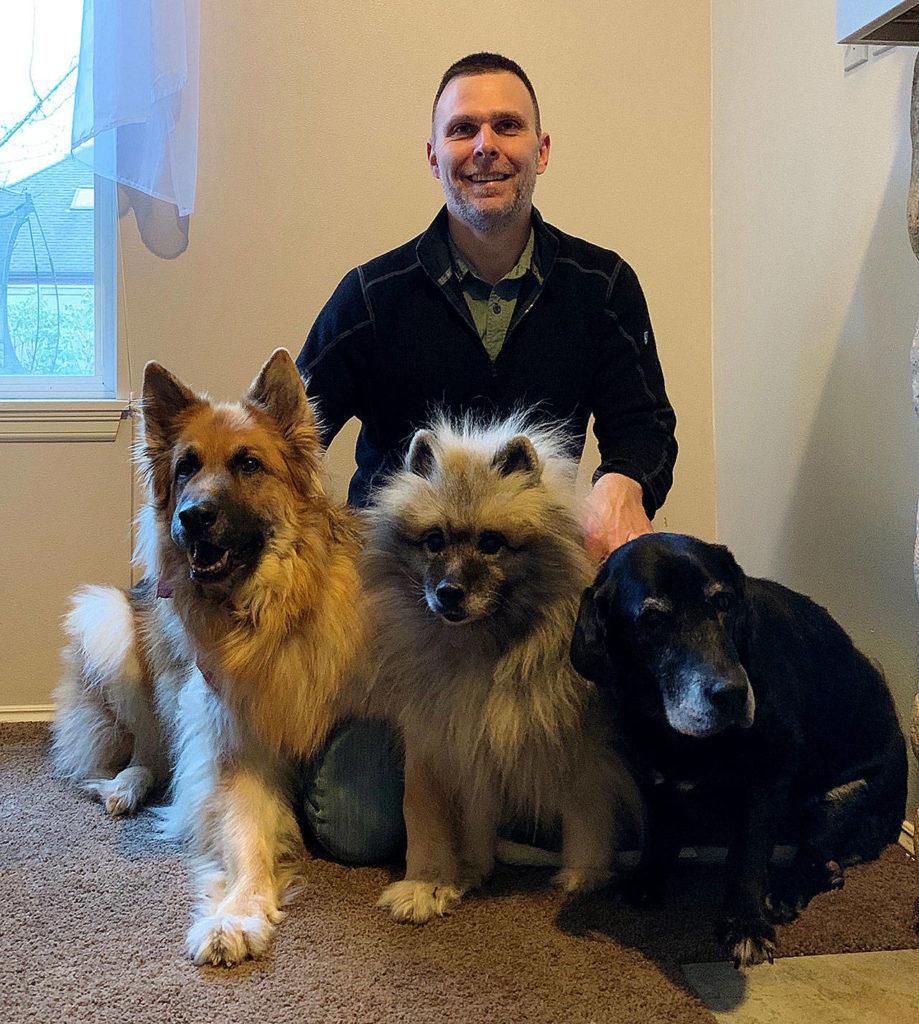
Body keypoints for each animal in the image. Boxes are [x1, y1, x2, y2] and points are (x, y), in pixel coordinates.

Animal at [51, 348, 364, 962]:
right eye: (186, 467)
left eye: (249, 464)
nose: (192, 517)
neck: (269, 614)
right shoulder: (234, 748)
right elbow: (245, 837)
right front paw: (238, 912)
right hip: (110, 626)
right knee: (149, 747)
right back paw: (127, 785)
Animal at [360, 411, 639, 925]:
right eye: (434, 541)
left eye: (491, 543)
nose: (449, 592)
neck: (479, 649)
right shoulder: (441, 743)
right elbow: (428, 821)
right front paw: (433, 881)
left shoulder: (579, 745)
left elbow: (588, 810)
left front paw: (585, 873)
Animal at [569, 536, 905, 966]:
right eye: (653, 619)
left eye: (723, 602)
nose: (732, 694)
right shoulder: (650, 773)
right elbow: (660, 830)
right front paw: (648, 878)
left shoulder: (768, 776)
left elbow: (748, 856)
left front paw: (746, 926)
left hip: (846, 796)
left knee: (814, 851)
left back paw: (788, 891)